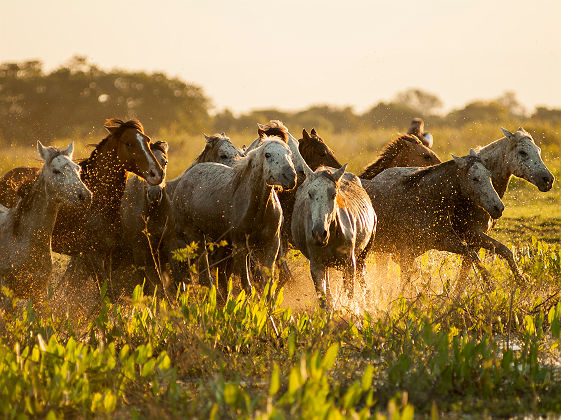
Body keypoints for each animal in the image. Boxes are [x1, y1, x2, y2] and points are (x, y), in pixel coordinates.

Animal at [173, 136, 298, 294]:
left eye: (289, 153)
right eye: (267, 154)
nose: (291, 177)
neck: (259, 209)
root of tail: (184, 180)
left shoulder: (272, 243)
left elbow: (267, 283)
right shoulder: (241, 246)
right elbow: (247, 285)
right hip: (195, 237)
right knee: (205, 275)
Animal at [288, 165, 376, 308]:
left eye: (334, 194)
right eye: (310, 194)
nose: (319, 233)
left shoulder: (349, 263)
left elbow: (349, 295)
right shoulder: (316, 265)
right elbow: (324, 300)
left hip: (363, 255)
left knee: (363, 282)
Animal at [360, 151, 506, 292]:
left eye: (489, 175)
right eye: (475, 178)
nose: (498, 207)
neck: (425, 199)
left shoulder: (444, 241)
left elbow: (473, 254)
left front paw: (490, 283)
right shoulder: (405, 253)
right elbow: (405, 283)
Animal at [456, 127, 556, 292]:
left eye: (539, 150)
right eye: (522, 152)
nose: (548, 180)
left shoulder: (475, 238)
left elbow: (467, 268)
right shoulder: (474, 233)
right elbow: (504, 251)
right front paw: (522, 280)